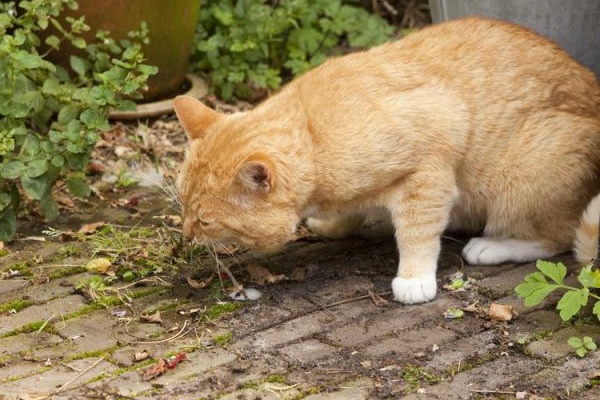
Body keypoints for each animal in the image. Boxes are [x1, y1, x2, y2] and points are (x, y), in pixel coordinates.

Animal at [175, 16, 600, 304]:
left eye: (206, 220)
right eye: (183, 208)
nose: (187, 235)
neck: (313, 131)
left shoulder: (430, 166)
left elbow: (417, 233)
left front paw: (414, 279)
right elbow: (348, 213)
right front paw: (334, 225)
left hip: (522, 179)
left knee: (557, 239)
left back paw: (490, 246)